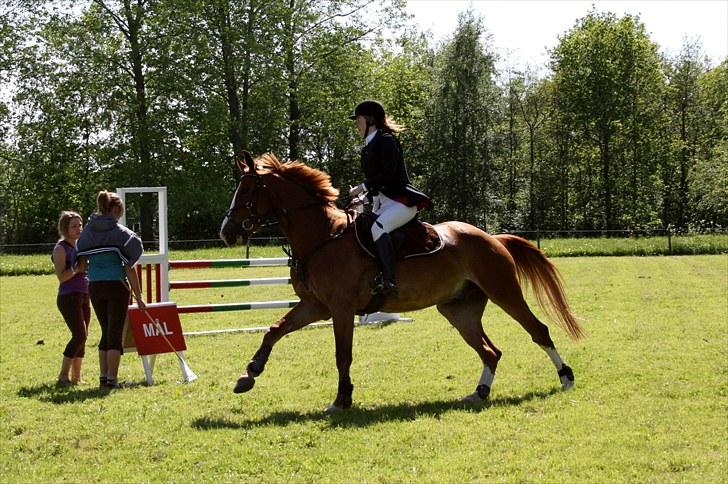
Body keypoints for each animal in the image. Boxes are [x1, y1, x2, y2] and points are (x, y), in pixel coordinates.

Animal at [219, 152, 584, 412]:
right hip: (458, 310)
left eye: (248, 190)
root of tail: (491, 238)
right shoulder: (315, 306)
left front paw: (341, 400)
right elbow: (274, 330)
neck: (322, 237)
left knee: (538, 331)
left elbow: (342, 354)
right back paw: (480, 393)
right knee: (490, 351)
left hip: (504, 292)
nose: (227, 232)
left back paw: (565, 378)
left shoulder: (340, 309)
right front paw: (249, 374)